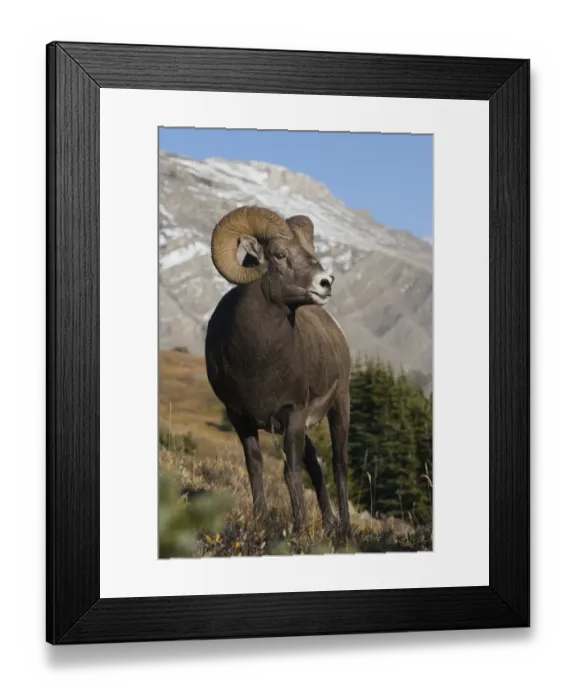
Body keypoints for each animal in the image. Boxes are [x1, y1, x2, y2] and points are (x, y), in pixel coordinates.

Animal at [204, 206, 353, 537]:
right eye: (280, 255)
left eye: (310, 252)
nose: (326, 282)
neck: (258, 362)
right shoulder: (240, 417)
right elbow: (255, 465)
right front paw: (262, 520)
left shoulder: (293, 413)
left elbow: (290, 471)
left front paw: (298, 528)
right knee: (317, 464)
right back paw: (328, 524)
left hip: (339, 406)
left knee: (338, 464)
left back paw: (345, 529)